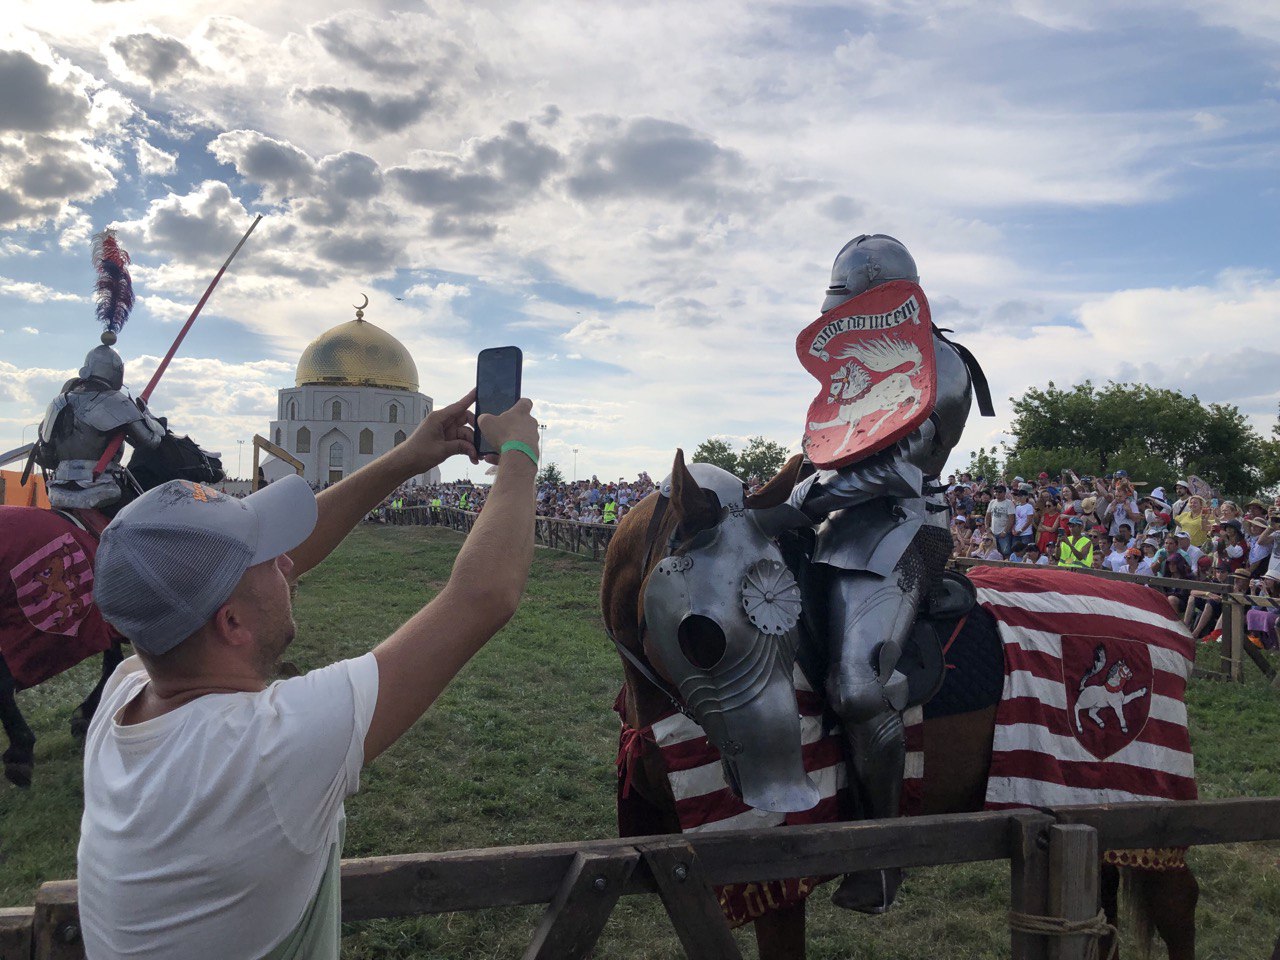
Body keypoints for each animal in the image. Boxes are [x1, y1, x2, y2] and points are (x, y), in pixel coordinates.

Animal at [0, 435, 224, 788]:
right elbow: (112, 663)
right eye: (186, 443)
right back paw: (20, 752)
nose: (217, 464)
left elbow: (111, 660)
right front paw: (84, 714)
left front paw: (83, 715)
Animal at [599, 455, 1198, 960]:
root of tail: (1160, 602)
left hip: (1151, 805)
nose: (783, 790)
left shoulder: (776, 873)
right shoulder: (682, 868)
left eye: (789, 633)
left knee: (1178, 905)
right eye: (702, 636)